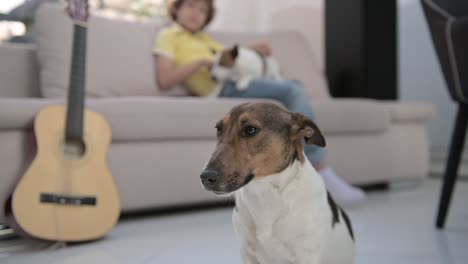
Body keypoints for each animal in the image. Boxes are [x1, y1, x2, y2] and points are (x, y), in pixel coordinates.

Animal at [198, 102, 354, 264]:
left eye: (250, 130)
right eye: (219, 129)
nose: (205, 177)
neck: (264, 192)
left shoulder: (306, 256)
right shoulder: (248, 253)